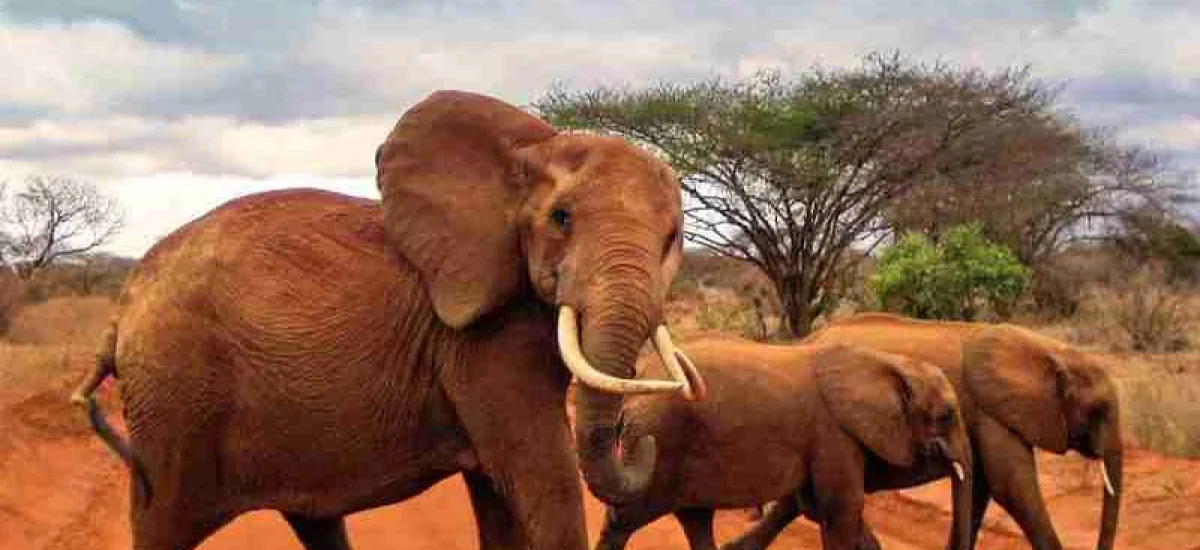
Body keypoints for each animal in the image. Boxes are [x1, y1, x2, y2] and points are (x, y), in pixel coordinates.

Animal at [68, 90, 707, 550]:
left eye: (673, 238)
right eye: (562, 218)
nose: (642, 438)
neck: (532, 149)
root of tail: (122, 308)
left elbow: (500, 493)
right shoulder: (480, 338)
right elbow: (541, 478)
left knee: (315, 522)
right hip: (176, 398)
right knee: (164, 525)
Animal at [592, 336, 974, 550]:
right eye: (946, 415)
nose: (945, 451)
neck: (889, 362)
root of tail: (638, 381)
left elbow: (818, 507)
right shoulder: (833, 434)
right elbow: (840, 509)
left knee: (695, 520)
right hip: (656, 447)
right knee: (624, 520)